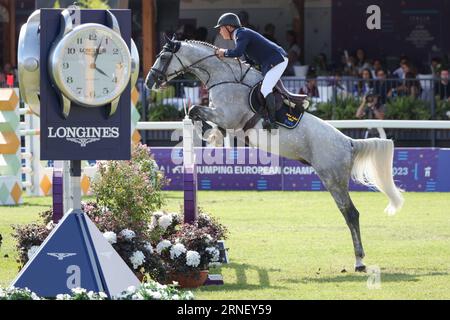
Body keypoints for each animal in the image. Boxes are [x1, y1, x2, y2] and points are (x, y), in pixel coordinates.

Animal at [147, 38, 404, 272]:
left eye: (163, 56)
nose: (150, 82)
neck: (224, 76)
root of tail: (349, 143)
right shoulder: (223, 118)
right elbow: (201, 116)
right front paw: (214, 137)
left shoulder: (227, 116)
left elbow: (194, 110)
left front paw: (208, 134)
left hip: (333, 179)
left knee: (351, 213)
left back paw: (359, 261)